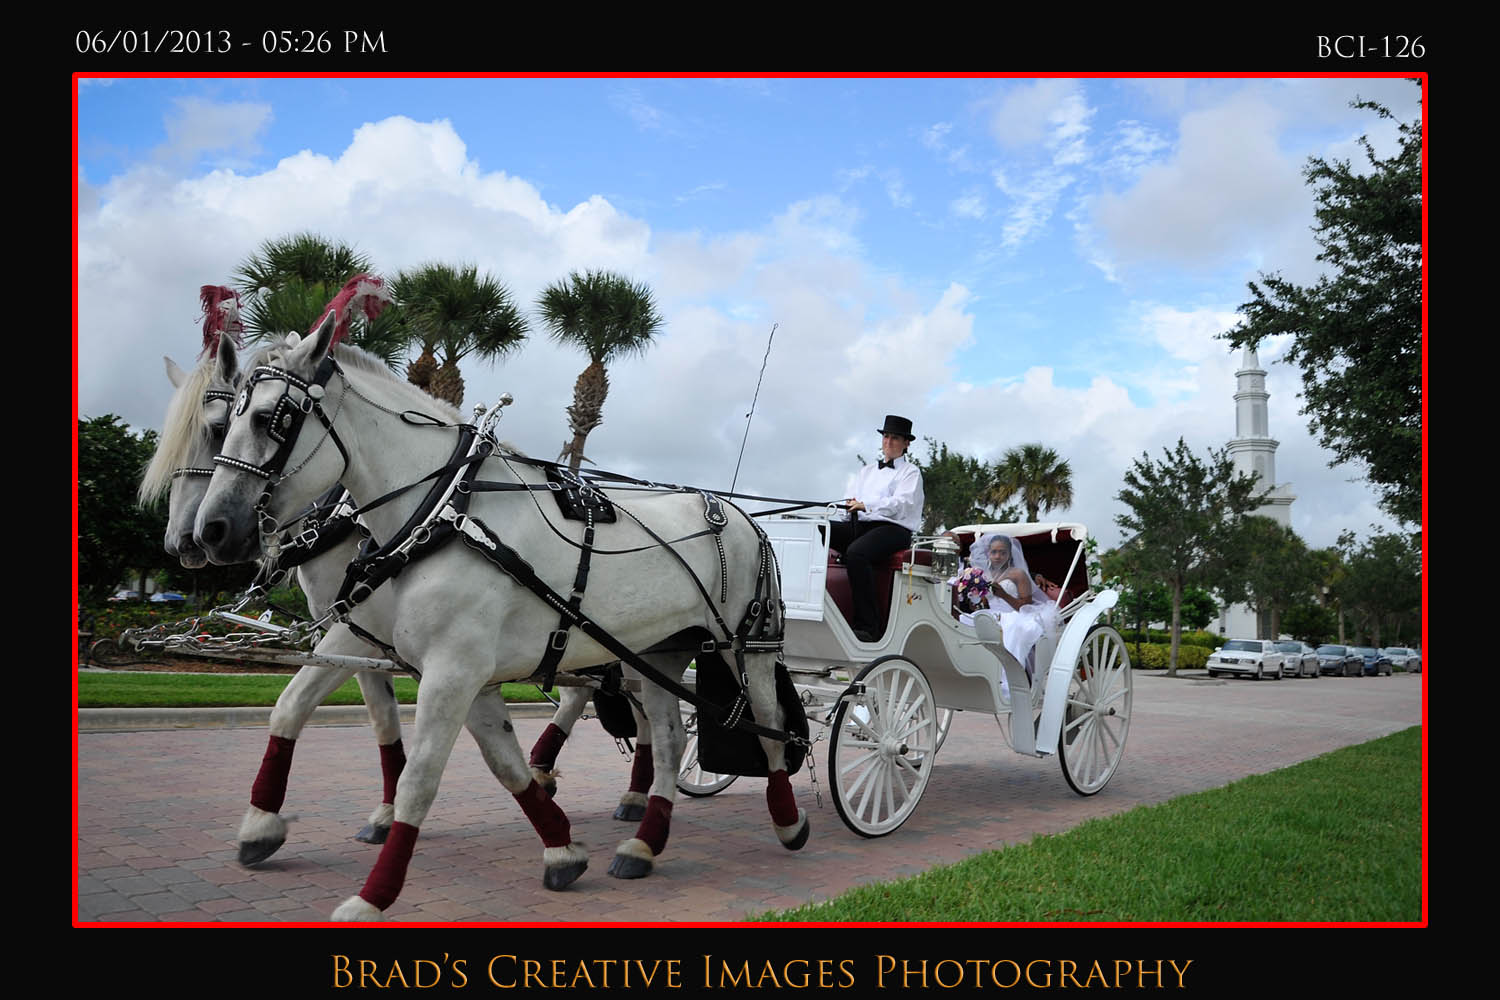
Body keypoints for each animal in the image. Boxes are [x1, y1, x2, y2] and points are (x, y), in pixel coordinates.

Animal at [194, 313, 810, 921]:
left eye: (272, 418)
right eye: (221, 424)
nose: (211, 531)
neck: (442, 511)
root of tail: (741, 515)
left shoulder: (452, 669)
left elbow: (420, 778)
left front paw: (372, 896)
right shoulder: (429, 660)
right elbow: (496, 760)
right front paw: (561, 848)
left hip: (745, 647)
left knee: (771, 728)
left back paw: (787, 821)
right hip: (657, 653)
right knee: (666, 739)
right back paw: (644, 841)